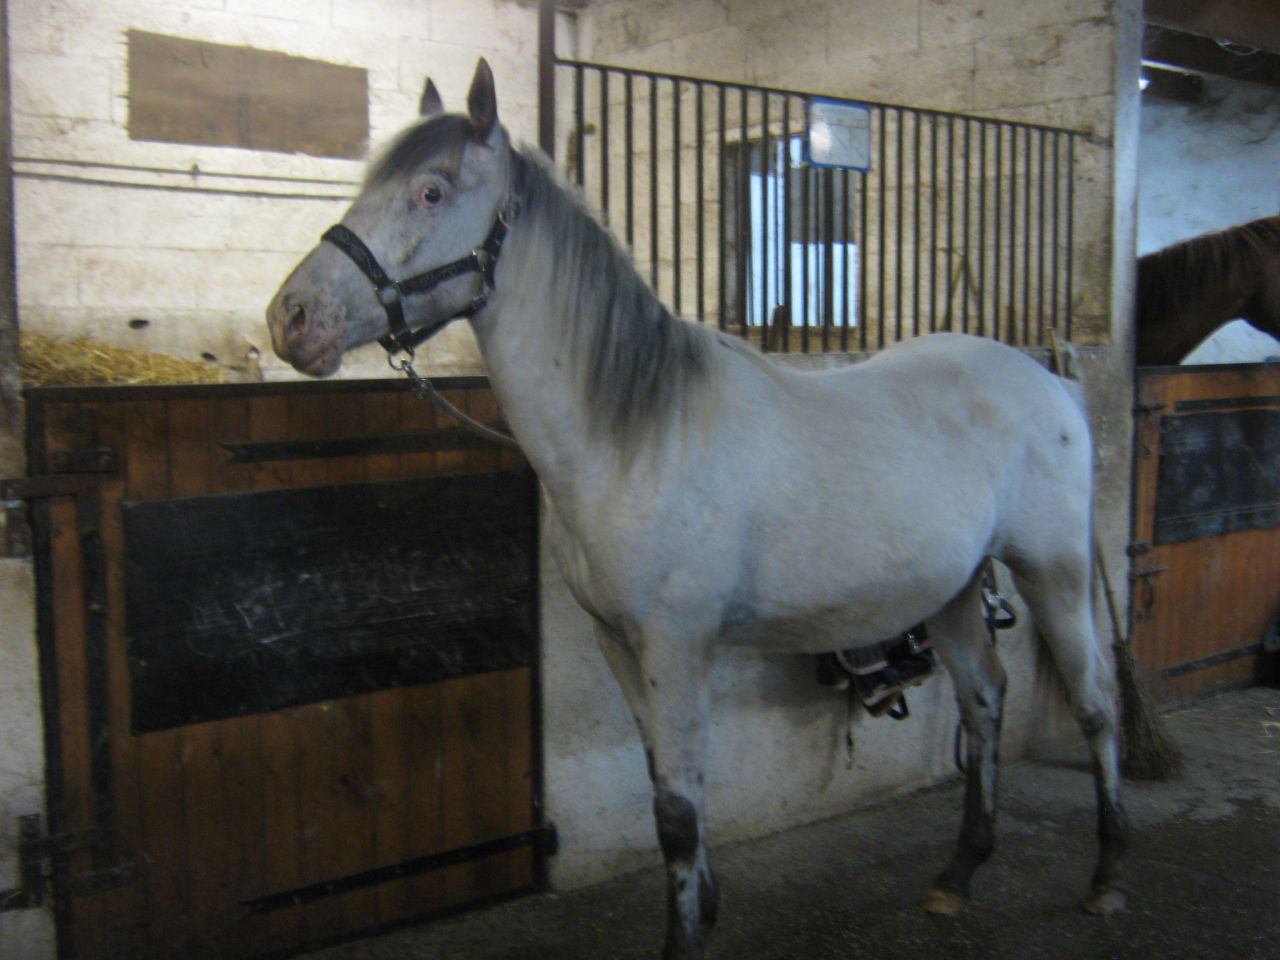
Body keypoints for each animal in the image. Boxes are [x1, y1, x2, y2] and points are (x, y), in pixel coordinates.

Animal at [268, 59, 1134, 959]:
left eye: (430, 192)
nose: (292, 319)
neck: (638, 437)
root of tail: (1050, 379)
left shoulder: (678, 646)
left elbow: (679, 813)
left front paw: (687, 935)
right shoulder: (622, 645)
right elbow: (667, 789)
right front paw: (705, 906)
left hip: (1055, 571)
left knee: (1096, 702)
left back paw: (1107, 877)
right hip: (955, 588)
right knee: (985, 701)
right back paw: (959, 874)